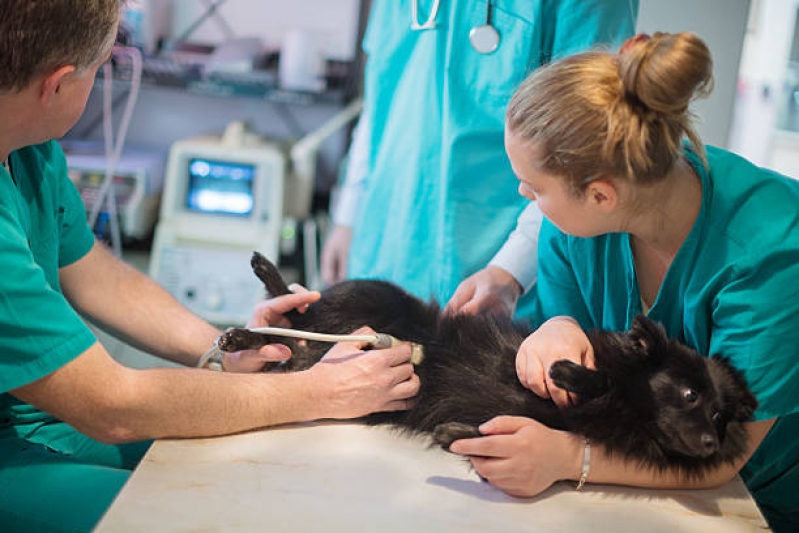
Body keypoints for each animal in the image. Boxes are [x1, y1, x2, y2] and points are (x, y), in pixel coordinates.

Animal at [222, 251, 760, 476]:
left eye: (719, 415)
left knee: (291, 347)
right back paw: (257, 297)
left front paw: (452, 436)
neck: (629, 414)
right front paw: (570, 372)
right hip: (363, 295)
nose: (712, 445)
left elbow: (482, 432)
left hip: (317, 360)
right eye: (689, 395)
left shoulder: (541, 421)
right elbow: (596, 376)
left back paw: (246, 337)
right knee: (298, 312)